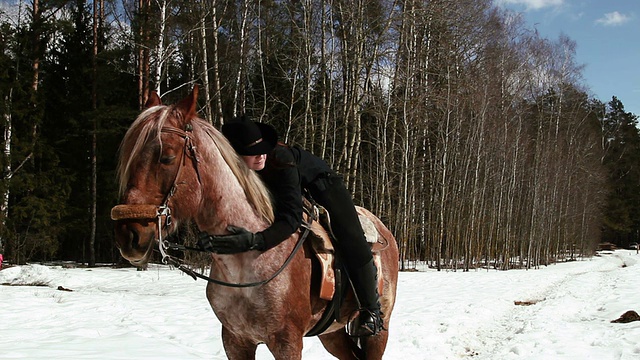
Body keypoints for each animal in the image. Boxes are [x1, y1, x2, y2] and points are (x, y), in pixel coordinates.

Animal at [112, 87, 398, 360]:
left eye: (168, 157)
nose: (130, 236)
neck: (244, 265)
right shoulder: (235, 342)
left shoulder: (287, 343)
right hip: (331, 334)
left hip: (377, 334)